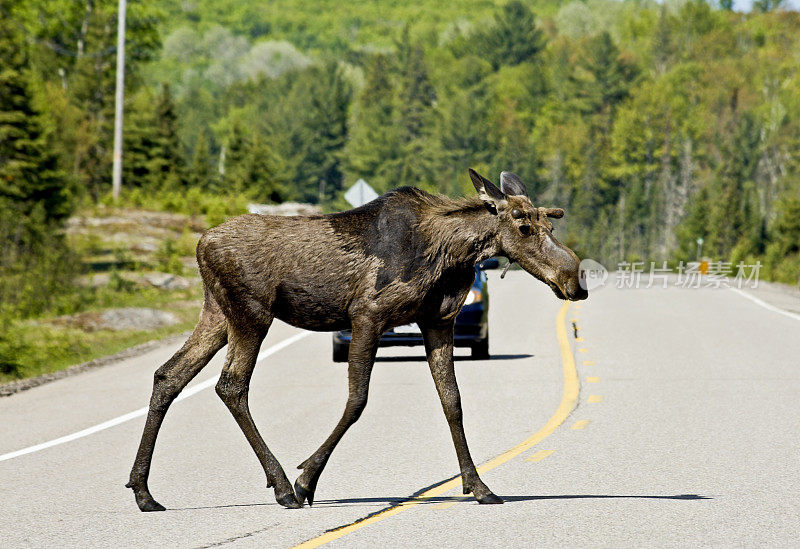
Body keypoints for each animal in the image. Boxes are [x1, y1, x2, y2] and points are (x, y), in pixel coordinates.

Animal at [125, 167, 588, 510]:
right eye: (523, 225)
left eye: (547, 222)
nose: (575, 280)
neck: (450, 255)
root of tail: (200, 246)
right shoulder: (367, 315)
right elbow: (357, 399)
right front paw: (307, 479)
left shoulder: (439, 323)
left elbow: (452, 402)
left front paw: (480, 488)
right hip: (251, 314)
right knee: (231, 384)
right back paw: (282, 486)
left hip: (218, 314)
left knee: (169, 374)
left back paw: (144, 492)